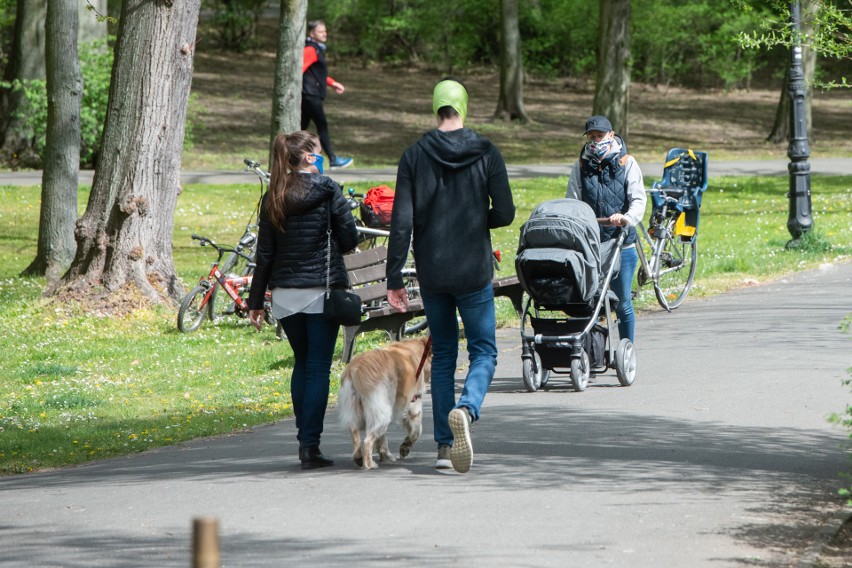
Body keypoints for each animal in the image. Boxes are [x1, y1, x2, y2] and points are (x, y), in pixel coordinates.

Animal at [338, 338, 432, 470]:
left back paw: (360, 458)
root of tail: (354, 368)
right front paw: (405, 447)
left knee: (356, 433)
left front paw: (385, 454)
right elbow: (417, 431)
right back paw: (369, 464)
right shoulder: (415, 402)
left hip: (359, 410)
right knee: (368, 440)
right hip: (382, 410)